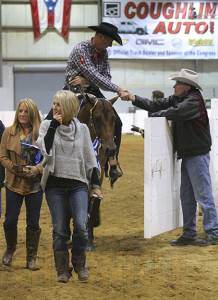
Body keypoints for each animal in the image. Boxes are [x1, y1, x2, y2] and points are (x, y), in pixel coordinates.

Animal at [76, 93, 120, 251]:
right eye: (96, 118)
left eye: (114, 119)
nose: (111, 149)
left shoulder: (97, 176)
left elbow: (92, 201)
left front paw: (89, 241)